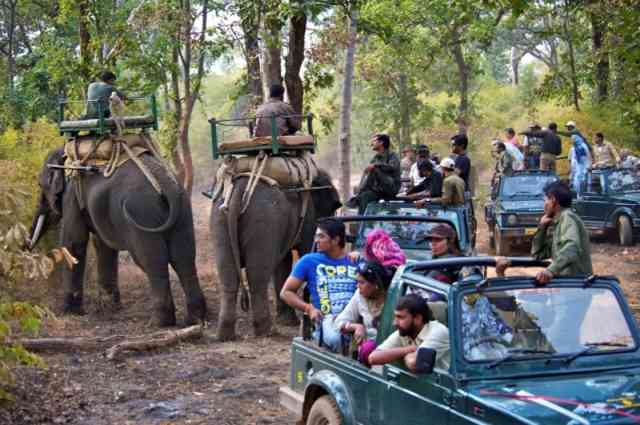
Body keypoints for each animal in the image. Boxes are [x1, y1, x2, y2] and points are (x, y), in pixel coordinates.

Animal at [31, 146, 206, 324]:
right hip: (183, 211)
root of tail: (168, 187)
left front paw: (70, 312)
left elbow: (74, 243)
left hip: (141, 212)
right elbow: (102, 245)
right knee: (183, 258)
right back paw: (195, 319)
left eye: (40, 184)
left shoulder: (72, 194)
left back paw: (160, 322)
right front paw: (110, 308)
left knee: (153, 261)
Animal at [211, 167, 342, 340]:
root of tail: (239, 188)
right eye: (332, 207)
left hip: (219, 220)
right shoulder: (309, 219)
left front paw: (287, 321)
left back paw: (225, 335)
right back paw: (267, 331)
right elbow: (306, 252)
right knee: (257, 278)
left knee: (228, 277)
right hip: (264, 220)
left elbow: (283, 265)